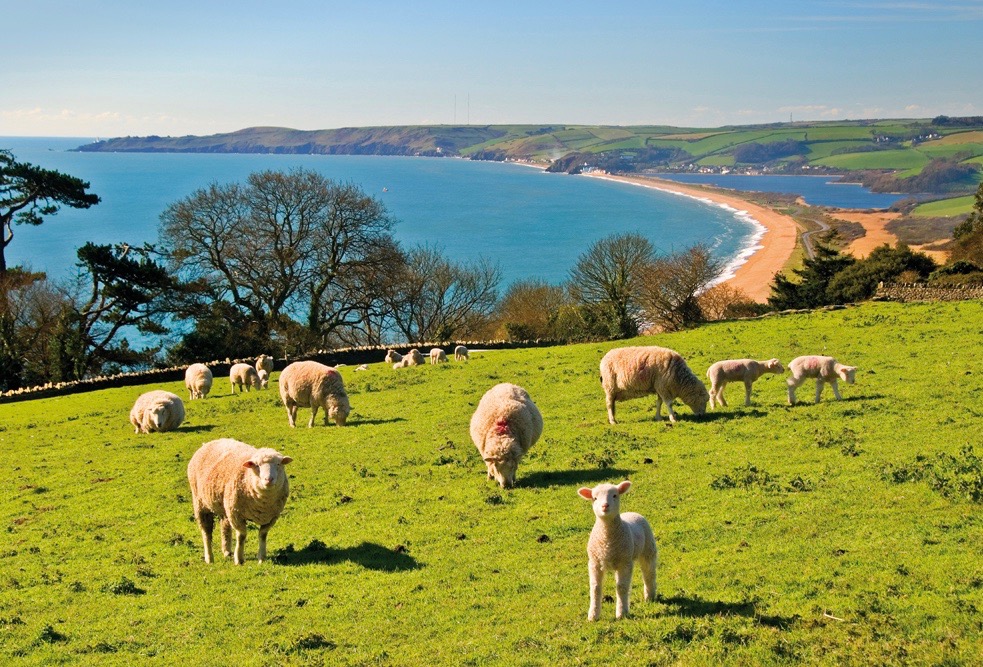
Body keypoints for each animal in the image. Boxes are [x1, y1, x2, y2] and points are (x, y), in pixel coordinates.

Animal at [578, 480, 657, 621]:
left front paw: (622, 613)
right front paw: (593, 615)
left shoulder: (625, 563)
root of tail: (631, 512)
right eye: (595, 498)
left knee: (649, 573)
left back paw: (650, 596)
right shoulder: (594, 562)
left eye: (615, 495)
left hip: (648, 549)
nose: (605, 506)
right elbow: (595, 588)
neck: (607, 540)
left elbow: (622, 587)